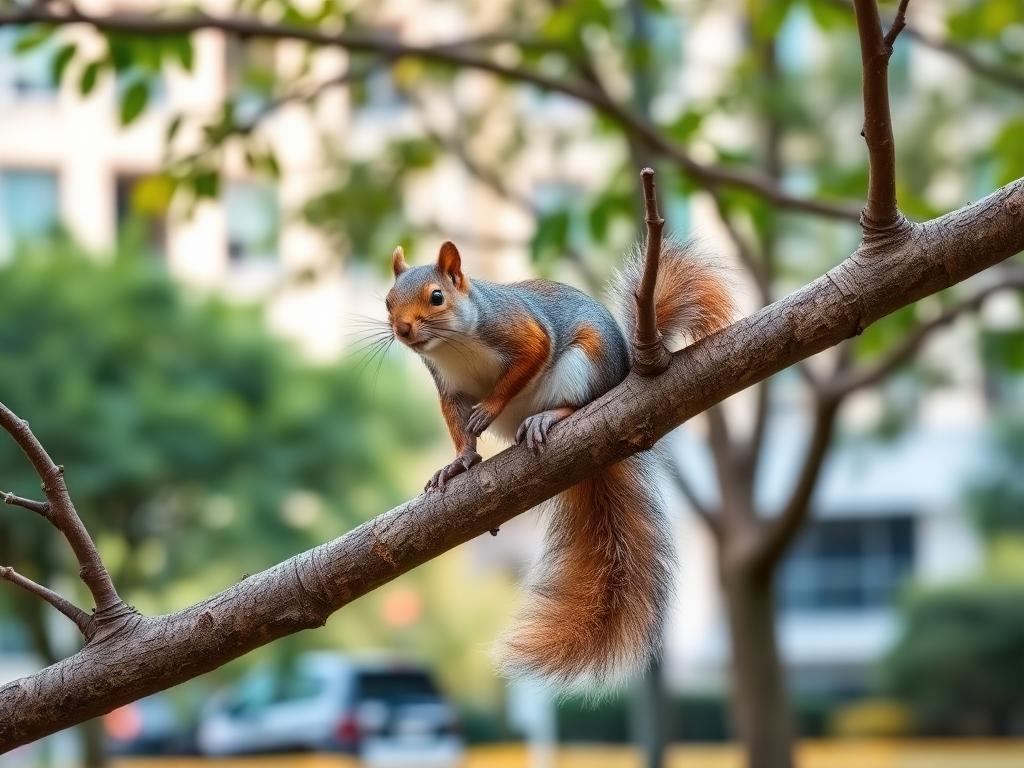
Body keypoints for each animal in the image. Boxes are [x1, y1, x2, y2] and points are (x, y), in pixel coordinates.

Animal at [385, 238, 735, 689]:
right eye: (388, 301)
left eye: (436, 297)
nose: (402, 330)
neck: (452, 345)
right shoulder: (448, 388)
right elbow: (459, 428)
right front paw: (459, 462)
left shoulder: (519, 328)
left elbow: (530, 357)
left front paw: (490, 408)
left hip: (582, 365)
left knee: (576, 402)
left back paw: (549, 417)